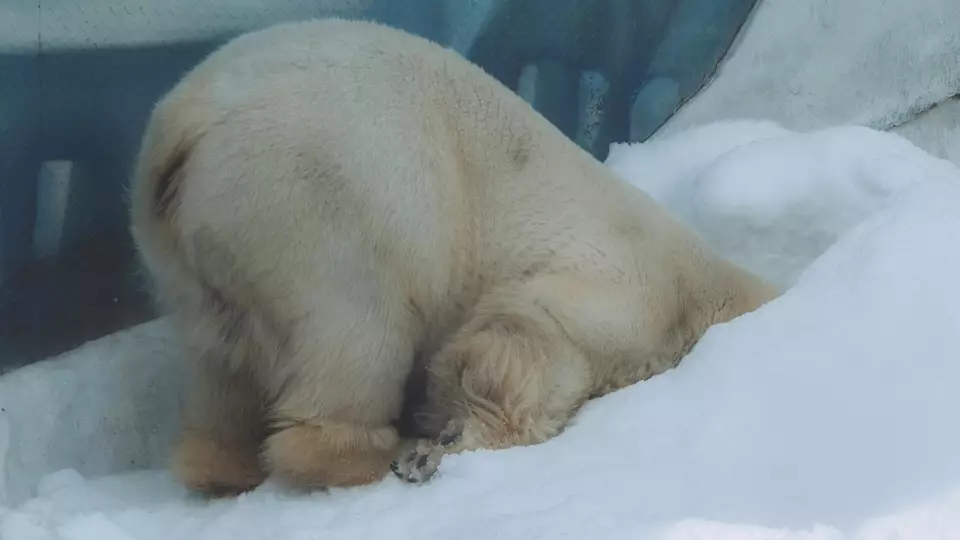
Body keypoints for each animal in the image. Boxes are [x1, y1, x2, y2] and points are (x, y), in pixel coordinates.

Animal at [128, 17, 779, 496]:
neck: (701, 289)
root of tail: (184, 128)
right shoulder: (625, 281)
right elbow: (531, 335)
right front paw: (440, 442)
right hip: (324, 202)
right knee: (360, 329)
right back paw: (361, 453)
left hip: (196, 256)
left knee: (223, 363)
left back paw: (219, 465)